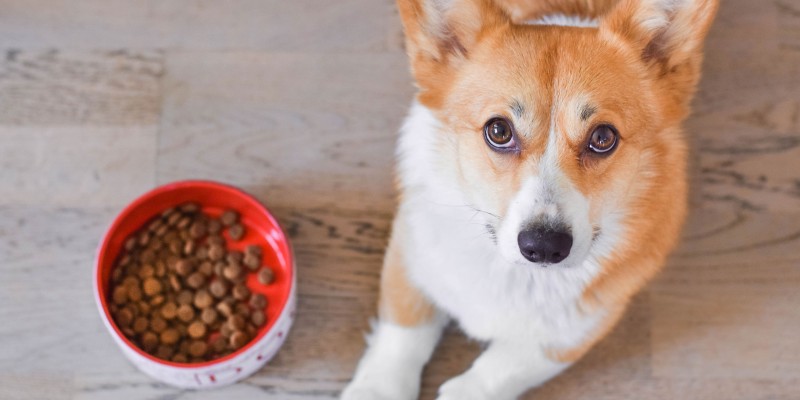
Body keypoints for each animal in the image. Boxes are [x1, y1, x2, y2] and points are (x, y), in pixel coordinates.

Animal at [340, 0, 716, 400]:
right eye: (498, 131)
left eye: (603, 137)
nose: (545, 246)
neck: (516, 274)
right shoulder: (410, 253)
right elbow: (403, 334)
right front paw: (376, 389)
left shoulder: (571, 334)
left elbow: (493, 373)